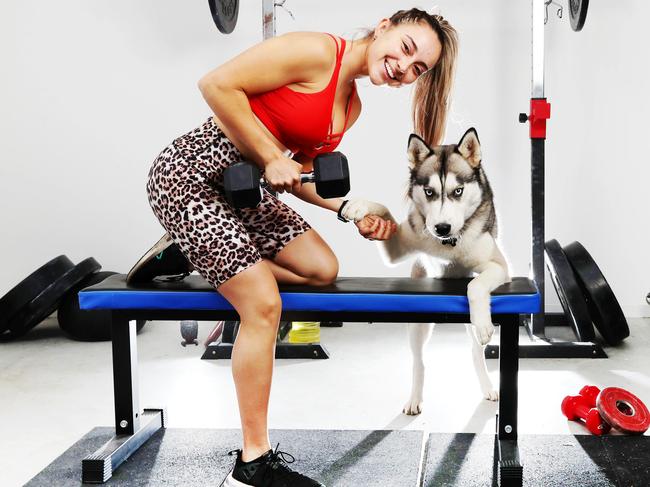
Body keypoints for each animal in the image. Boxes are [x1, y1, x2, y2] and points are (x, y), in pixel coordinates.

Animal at [342, 129, 508, 416]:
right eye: (429, 192)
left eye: (458, 191)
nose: (441, 227)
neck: (448, 244)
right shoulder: (400, 244)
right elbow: (384, 209)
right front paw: (358, 206)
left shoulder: (500, 266)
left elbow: (476, 285)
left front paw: (484, 321)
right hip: (418, 323)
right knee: (419, 361)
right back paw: (415, 398)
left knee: (476, 351)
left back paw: (487, 384)